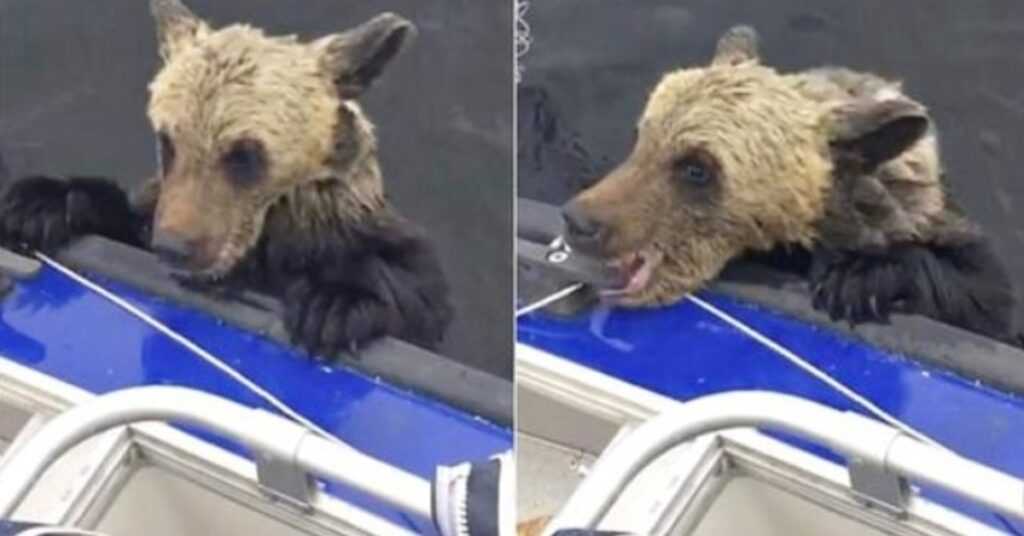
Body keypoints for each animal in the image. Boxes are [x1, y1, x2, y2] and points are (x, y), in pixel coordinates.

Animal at [0, 1, 452, 360]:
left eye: (244, 153)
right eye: (167, 140)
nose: (175, 246)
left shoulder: (352, 226)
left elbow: (416, 292)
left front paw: (332, 304)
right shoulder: (151, 211)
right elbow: (121, 217)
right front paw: (36, 205)